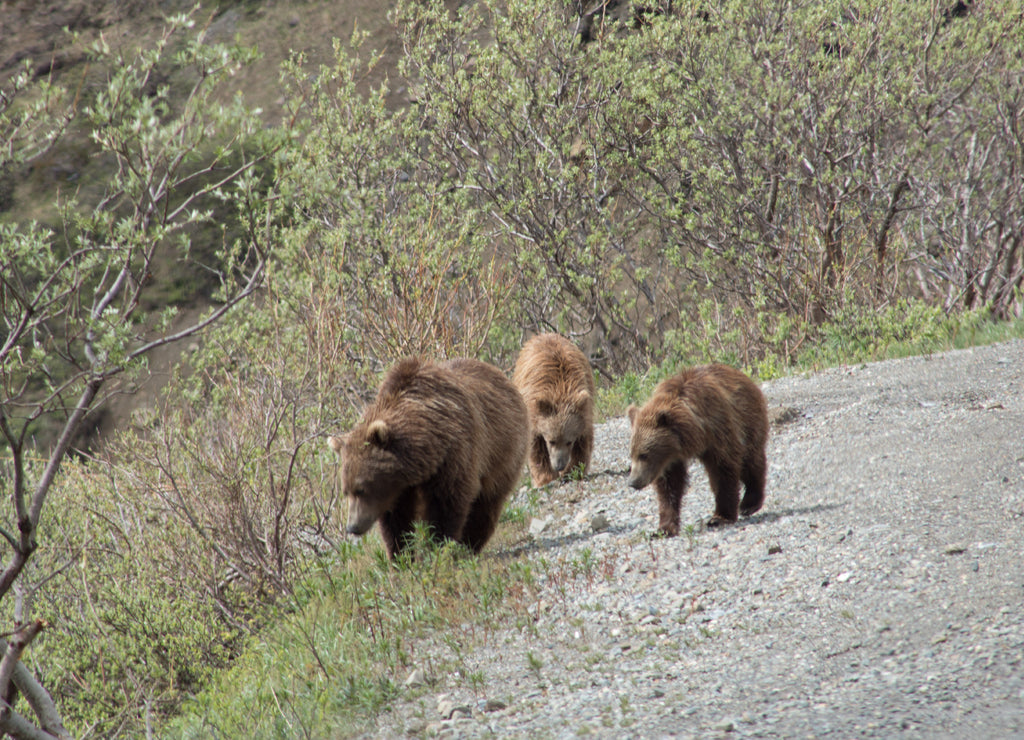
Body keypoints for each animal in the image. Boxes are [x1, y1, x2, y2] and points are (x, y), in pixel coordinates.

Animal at [325, 358, 528, 556]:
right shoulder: (397, 488)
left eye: (361, 489)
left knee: (486, 503)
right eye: (346, 491)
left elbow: (446, 505)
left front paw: (438, 547)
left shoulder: (454, 455)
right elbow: (396, 519)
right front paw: (401, 554)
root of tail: (504, 378)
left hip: (503, 451)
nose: (352, 527)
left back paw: (469, 546)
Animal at [516, 333, 598, 487]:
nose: (559, 465)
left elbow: (583, 441)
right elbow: (535, 446)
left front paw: (572, 471)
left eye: (569, 441)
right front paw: (545, 477)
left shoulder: (584, 410)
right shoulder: (534, 411)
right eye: (552, 441)